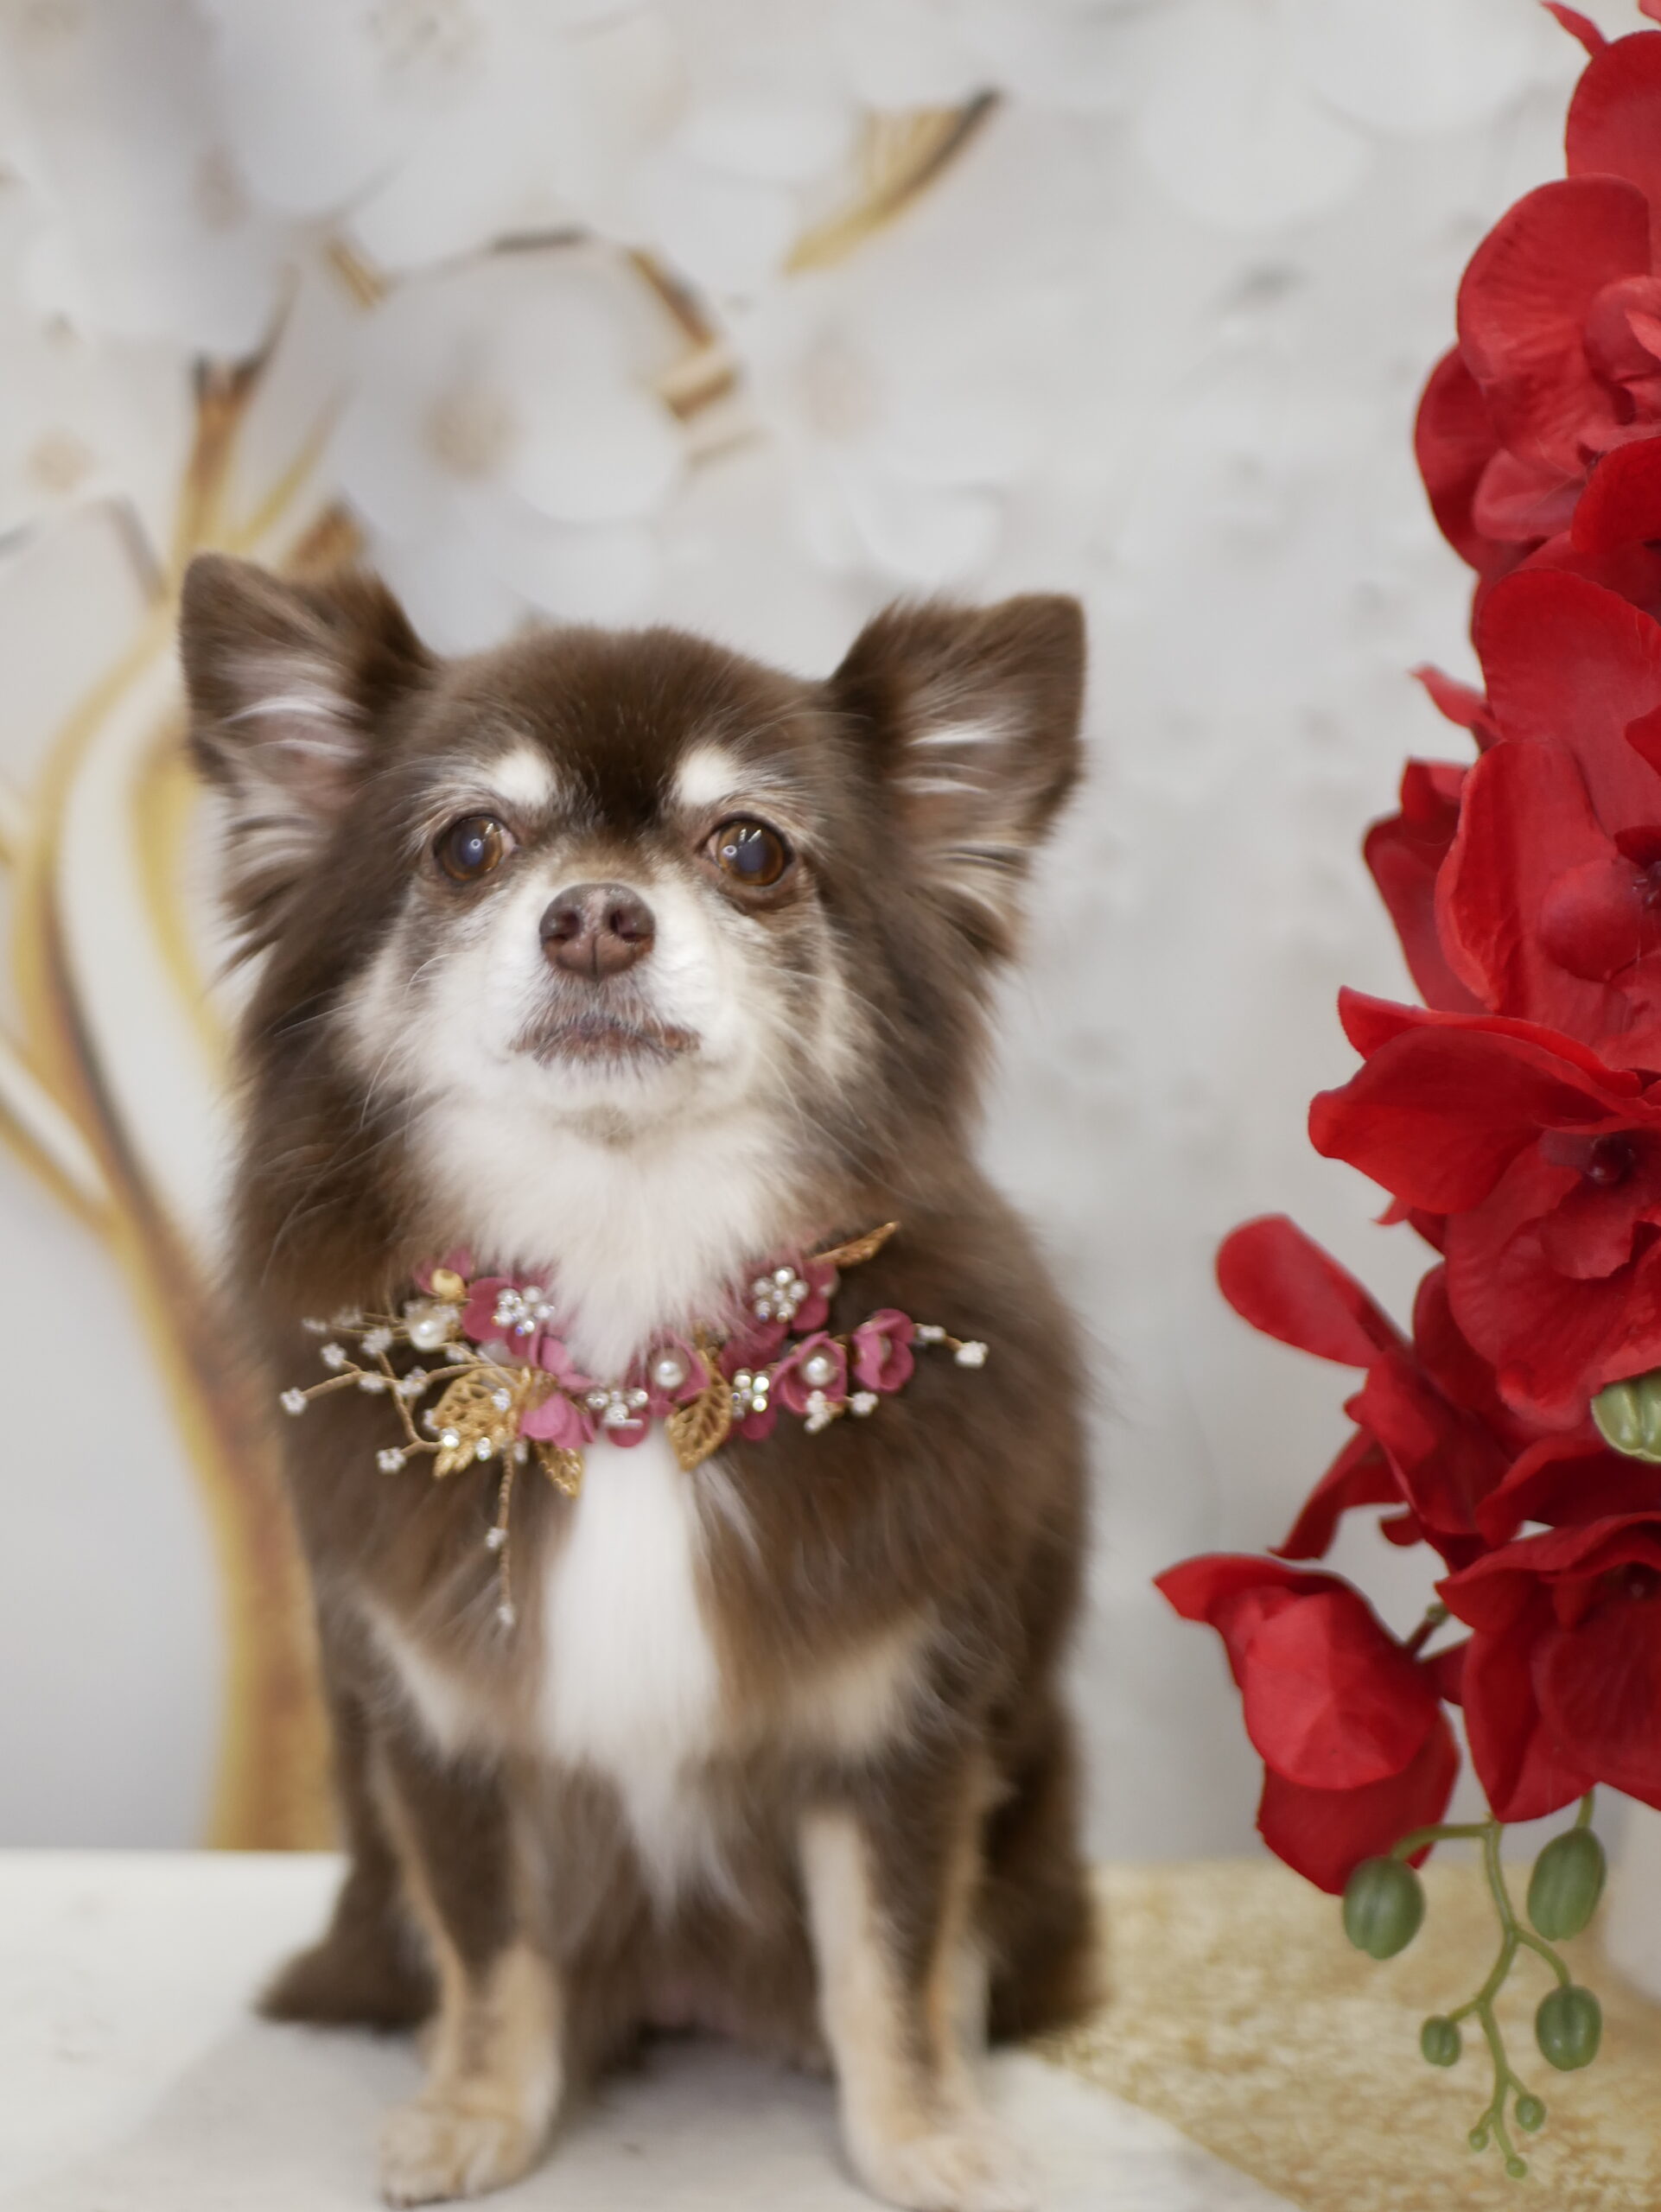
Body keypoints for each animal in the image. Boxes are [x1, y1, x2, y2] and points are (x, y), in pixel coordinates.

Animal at [180, 552, 1097, 2211]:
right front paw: (476, 2112)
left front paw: (923, 2136)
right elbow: (490, 1949)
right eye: (467, 844)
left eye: (751, 849)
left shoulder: (900, 1728)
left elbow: (887, 1953)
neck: (624, 1348)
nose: (596, 916)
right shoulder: (448, 1732)